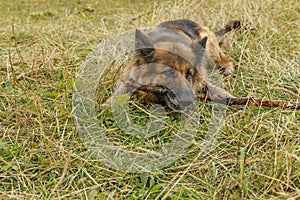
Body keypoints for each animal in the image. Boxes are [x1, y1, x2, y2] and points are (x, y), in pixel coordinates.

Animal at [103, 19, 300, 110]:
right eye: (169, 73)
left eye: (189, 74)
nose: (188, 100)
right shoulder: (128, 76)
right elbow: (122, 90)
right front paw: (110, 103)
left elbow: (215, 89)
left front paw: (232, 99)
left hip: (209, 46)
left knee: (225, 60)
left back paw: (228, 68)